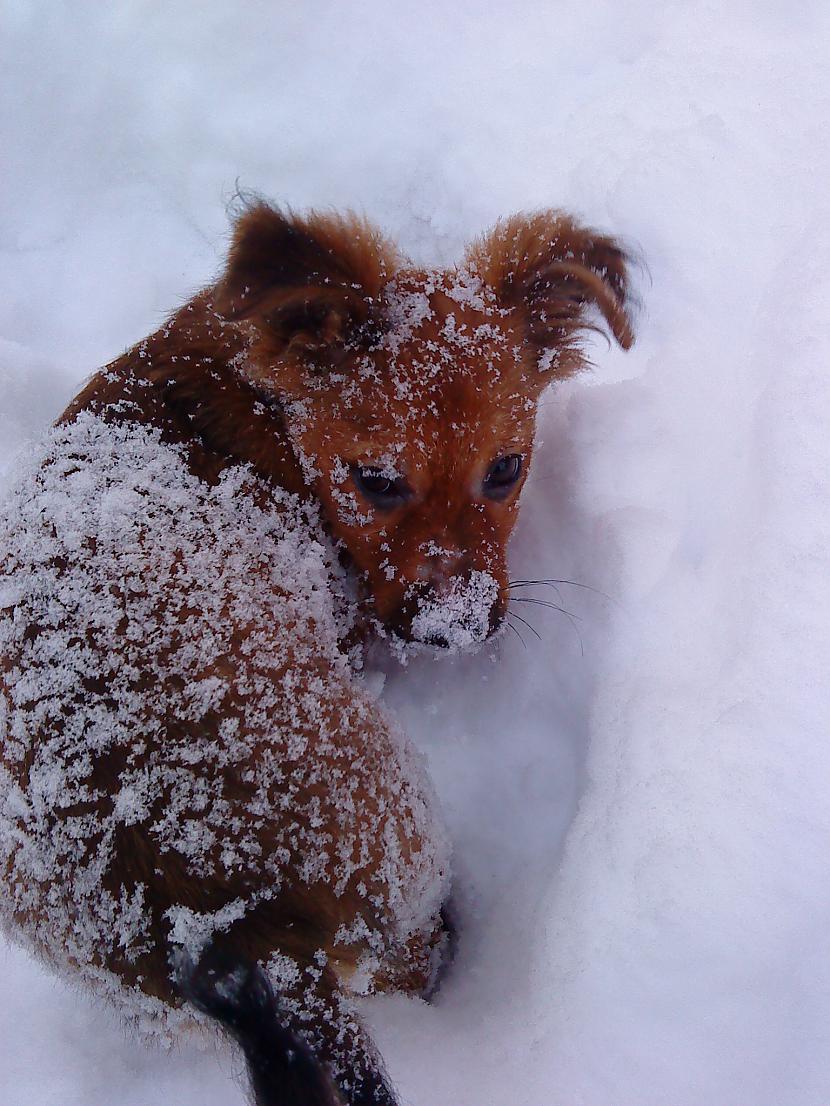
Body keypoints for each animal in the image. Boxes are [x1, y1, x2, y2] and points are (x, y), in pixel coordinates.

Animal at [0, 203, 633, 1101]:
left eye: (506, 469)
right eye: (376, 481)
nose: (454, 626)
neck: (259, 405)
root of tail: (220, 918)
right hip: (402, 821)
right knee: (405, 961)